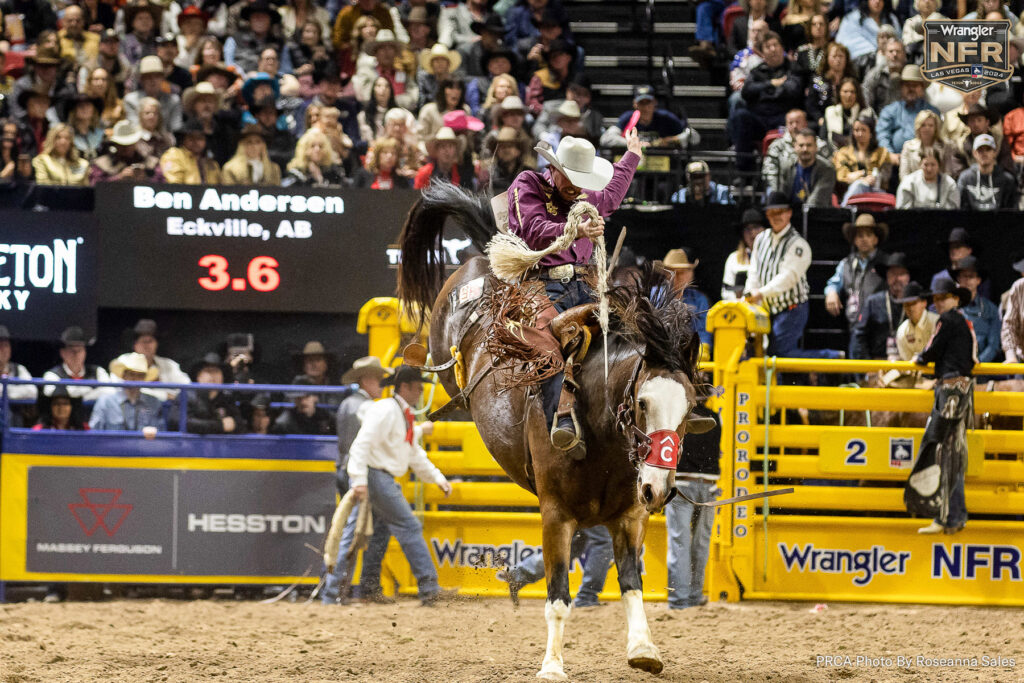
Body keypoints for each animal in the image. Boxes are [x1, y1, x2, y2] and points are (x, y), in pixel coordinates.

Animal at [395, 184, 716, 679]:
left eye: (688, 410)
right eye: (642, 403)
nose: (658, 488)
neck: (602, 438)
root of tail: (490, 251)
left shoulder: (630, 516)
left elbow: (631, 584)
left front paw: (644, 649)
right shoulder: (556, 516)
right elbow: (559, 596)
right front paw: (551, 665)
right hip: (445, 346)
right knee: (444, 366)